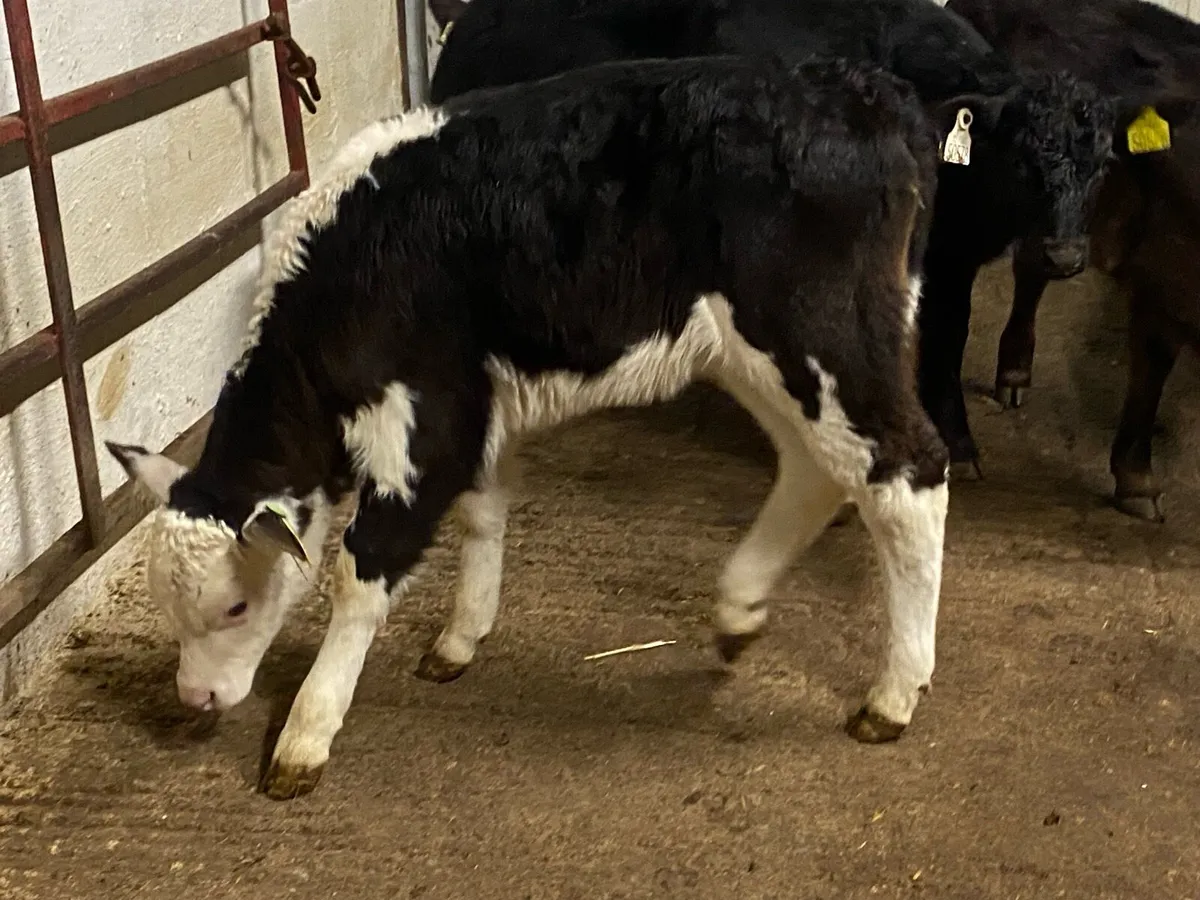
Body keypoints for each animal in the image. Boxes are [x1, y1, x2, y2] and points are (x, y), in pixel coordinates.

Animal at [105, 56, 949, 800]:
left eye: (236, 607)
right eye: (168, 607)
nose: (195, 697)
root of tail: (865, 91)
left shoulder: (427, 422)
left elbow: (362, 569)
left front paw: (304, 736)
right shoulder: (476, 409)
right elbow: (484, 513)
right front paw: (461, 637)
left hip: (823, 333)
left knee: (909, 473)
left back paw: (892, 695)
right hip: (758, 350)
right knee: (817, 469)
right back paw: (741, 607)